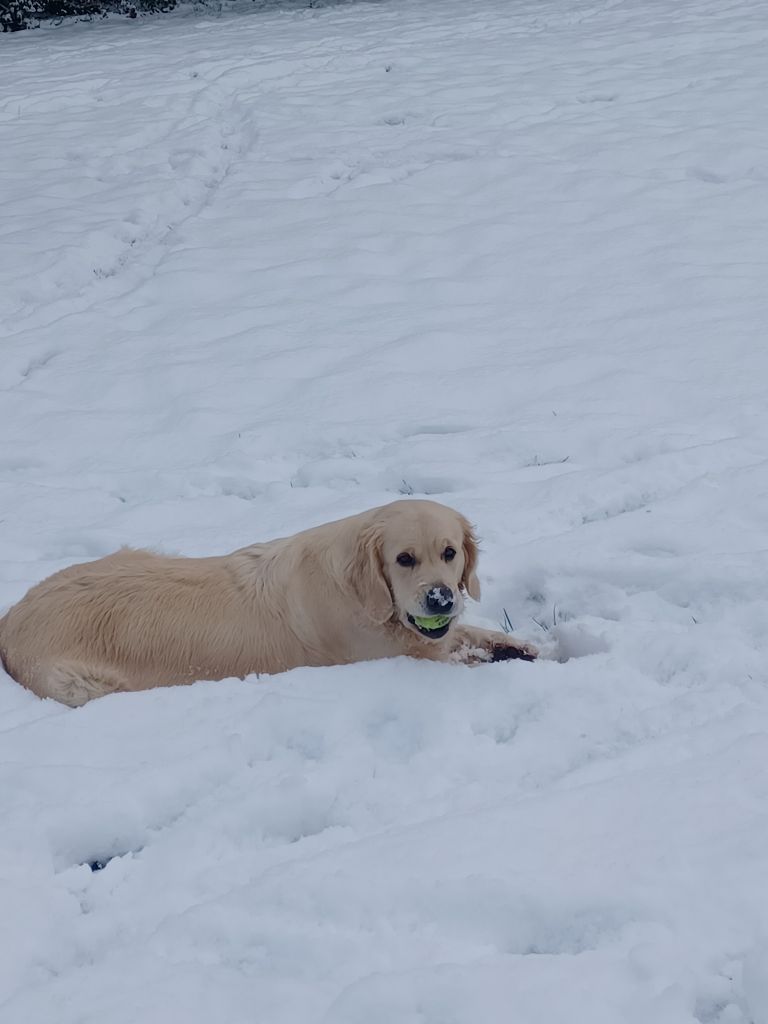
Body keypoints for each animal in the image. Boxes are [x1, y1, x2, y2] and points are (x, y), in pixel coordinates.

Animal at [0, 501, 536, 708]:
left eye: (449, 552)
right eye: (404, 559)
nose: (440, 598)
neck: (361, 592)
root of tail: (10, 618)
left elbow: (481, 636)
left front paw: (528, 647)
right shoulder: (396, 652)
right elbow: (464, 653)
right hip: (77, 686)